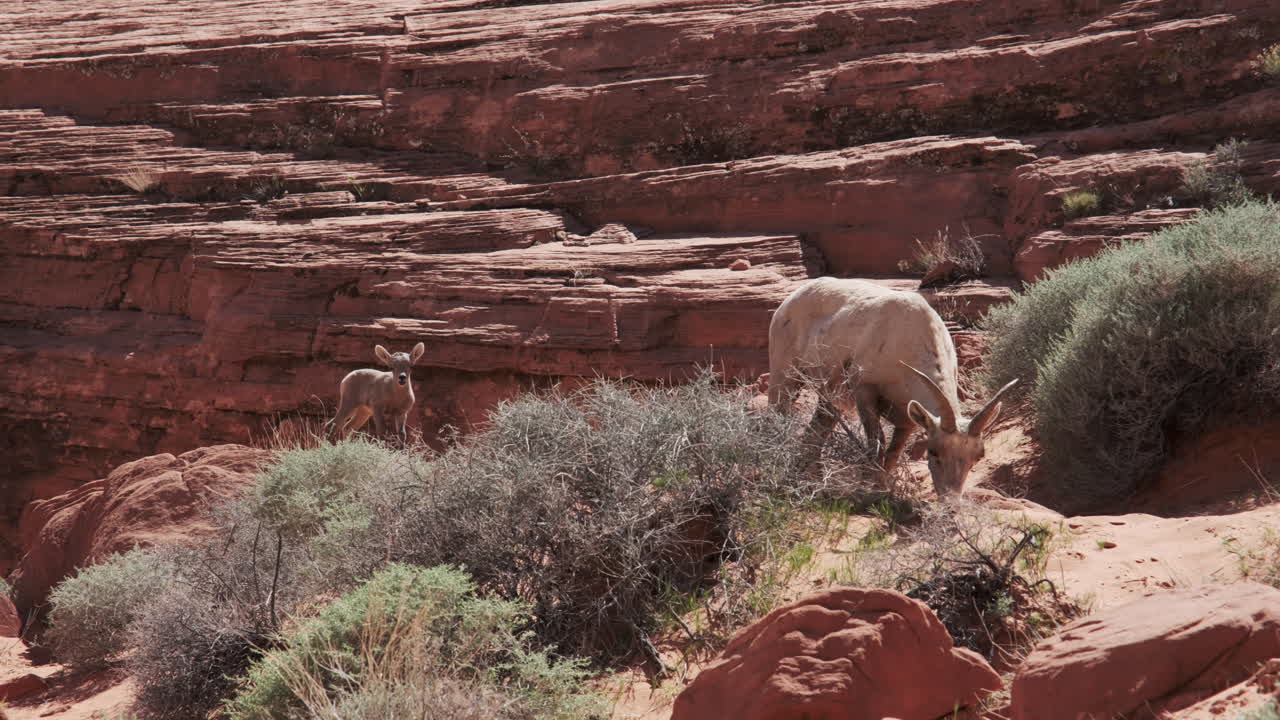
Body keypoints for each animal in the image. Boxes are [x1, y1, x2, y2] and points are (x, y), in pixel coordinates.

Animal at [767, 277, 1018, 497]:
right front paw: (868, 489)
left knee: (817, 430)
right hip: (785, 375)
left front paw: (883, 488)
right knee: (778, 412)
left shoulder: (907, 420)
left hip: (831, 399)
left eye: (978, 456)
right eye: (933, 451)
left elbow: (893, 454)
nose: (951, 501)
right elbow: (877, 442)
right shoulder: (865, 391)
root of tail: (790, 301)